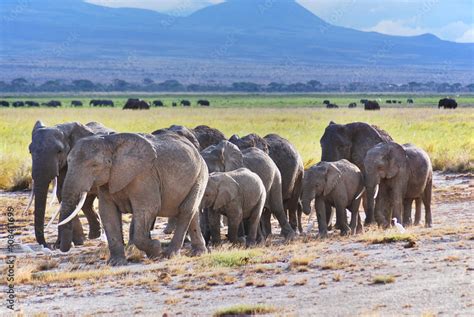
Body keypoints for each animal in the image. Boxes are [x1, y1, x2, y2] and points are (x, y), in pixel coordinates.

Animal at [55, 131, 207, 264]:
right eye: (68, 162)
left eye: (94, 165)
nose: (64, 248)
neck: (110, 143)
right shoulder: (108, 180)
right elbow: (107, 213)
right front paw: (116, 263)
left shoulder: (144, 175)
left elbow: (148, 209)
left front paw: (156, 250)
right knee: (191, 213)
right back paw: (198, 252)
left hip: (200, 176)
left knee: (186, 210)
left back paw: (170, 255)